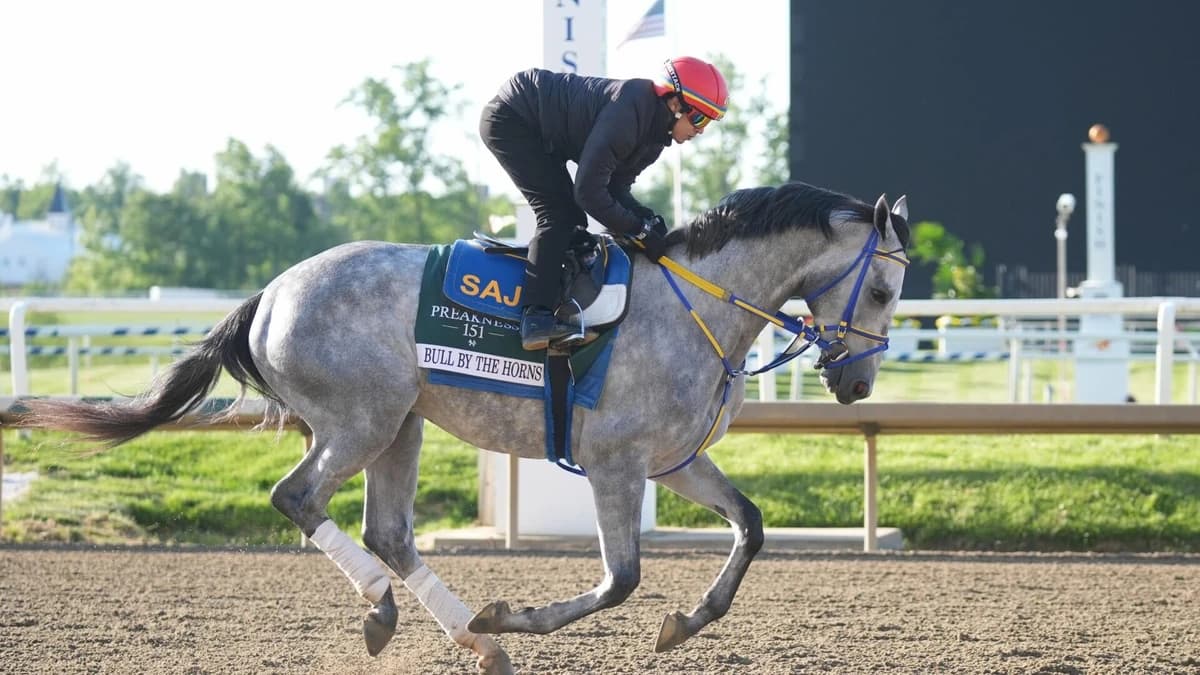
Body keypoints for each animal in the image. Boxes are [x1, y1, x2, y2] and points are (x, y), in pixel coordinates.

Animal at [20, 181, 910, 674]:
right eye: (881, 291)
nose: (858, 383)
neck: (698, 304)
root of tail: (269, 294)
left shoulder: (673, 461)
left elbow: (751, 527)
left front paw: (684, 622)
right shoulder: (616, 462)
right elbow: (620, 578)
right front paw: (512, 614)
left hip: (401, 426)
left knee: (387, 530)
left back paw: (471, 642)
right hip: (363, 418)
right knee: (298, 497)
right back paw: (398, 613)